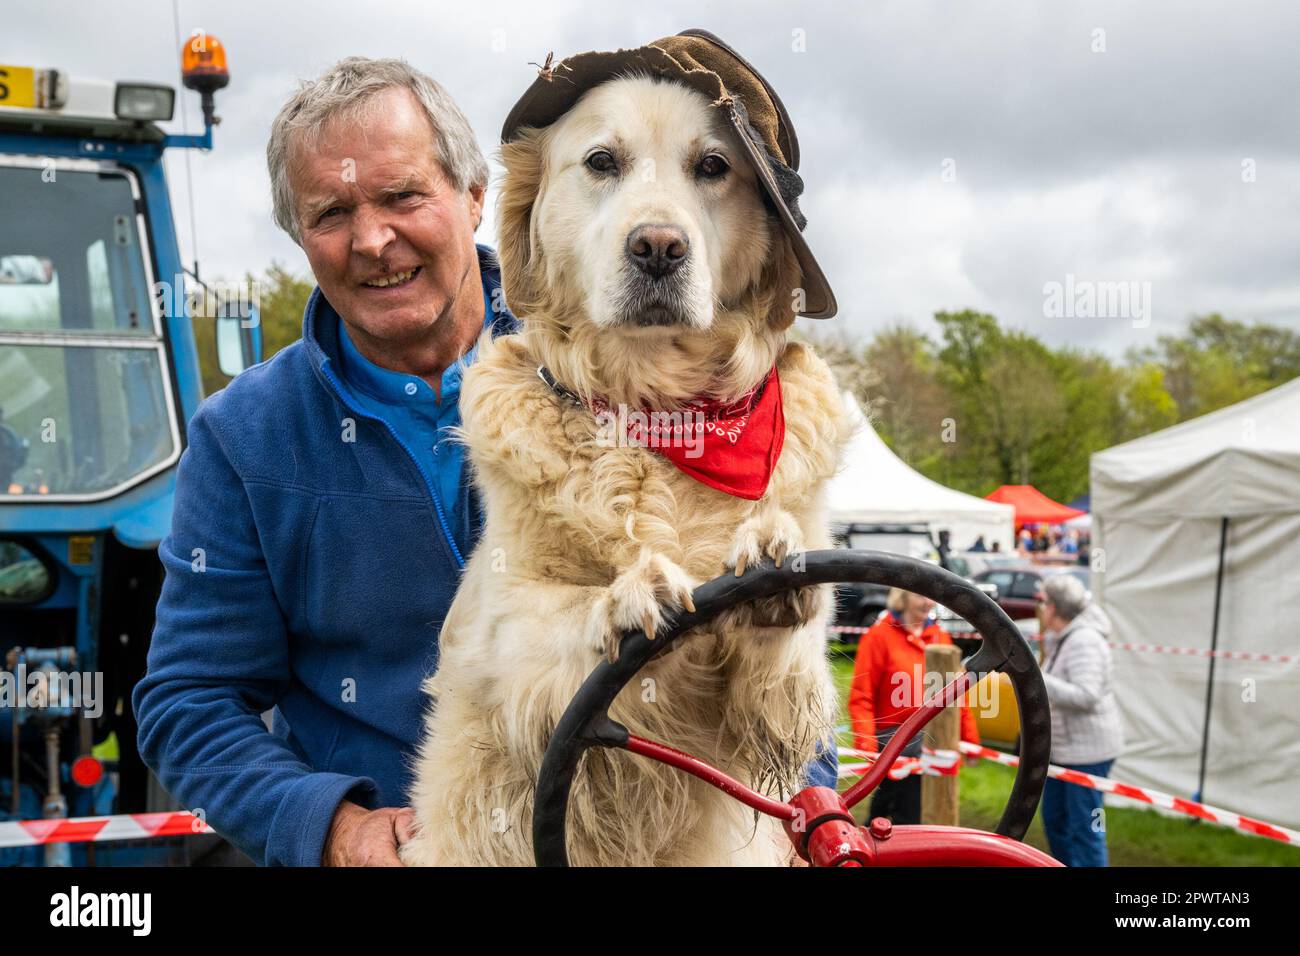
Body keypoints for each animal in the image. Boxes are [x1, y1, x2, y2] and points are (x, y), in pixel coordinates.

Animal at [405, 54, 852, 868]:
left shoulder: (785, 691)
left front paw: (770, 558)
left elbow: (790, 660)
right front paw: (629, 594)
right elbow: (551, 617)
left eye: (713, 167)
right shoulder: (496, 628)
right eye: (601, 162)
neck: (663, 412)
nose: (659, 247)